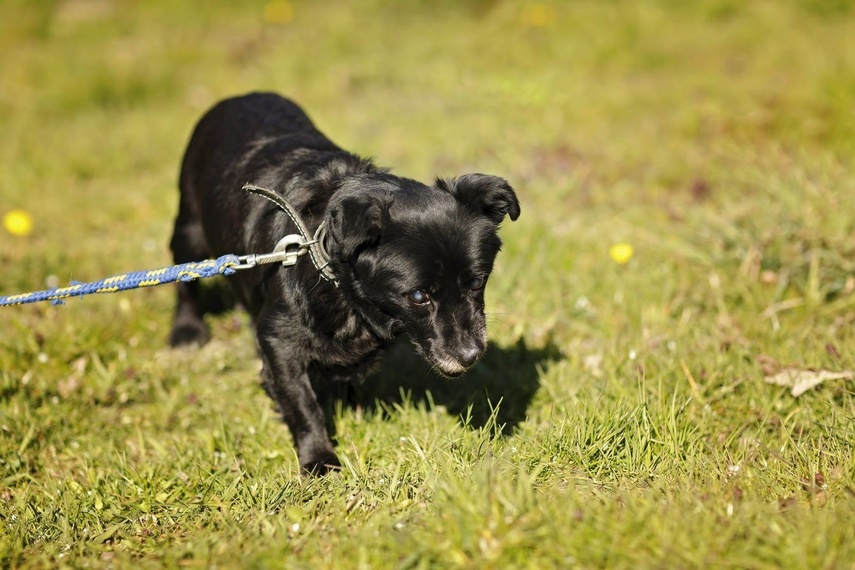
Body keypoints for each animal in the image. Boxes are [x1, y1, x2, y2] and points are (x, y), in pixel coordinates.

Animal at [170, 93, 520, 472]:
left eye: (476, 282)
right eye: (418, 295)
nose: (471, 354)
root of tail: (237, 97)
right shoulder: (279, 341)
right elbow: (303, 404)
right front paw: (319, 458)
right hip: (189, 232)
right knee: (184, 279)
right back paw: (186, 330)